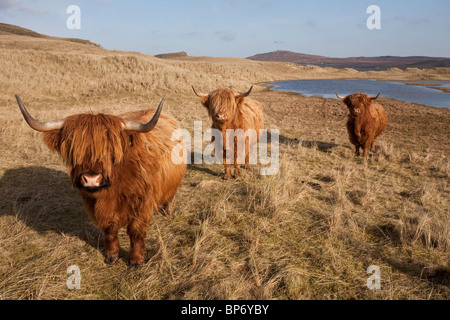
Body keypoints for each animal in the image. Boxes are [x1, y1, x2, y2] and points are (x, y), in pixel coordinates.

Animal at [14, 95, 185, 268]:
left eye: (110, 149)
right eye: (74, 148)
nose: (91, 179)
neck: (114, 189)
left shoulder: (142, 203)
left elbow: (135, 232)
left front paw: (136, 260)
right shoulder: (97, 206)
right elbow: (109, 230)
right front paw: (111, 256)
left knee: (170, 196)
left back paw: (169, 212)